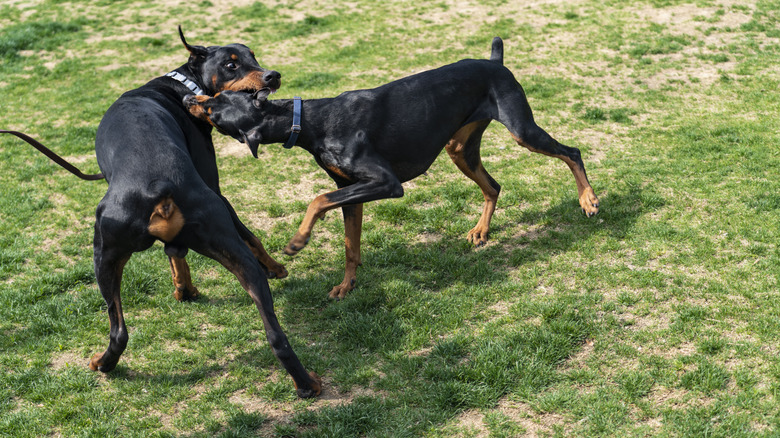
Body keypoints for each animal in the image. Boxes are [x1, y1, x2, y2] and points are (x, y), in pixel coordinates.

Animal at [186, 36, 600, 302]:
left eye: (215, 106)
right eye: (218, 94)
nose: (191, 97)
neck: (309, 120)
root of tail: (495, 62)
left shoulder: (385, 183)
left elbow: (318, 199)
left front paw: (297, 241)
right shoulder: (352, 192)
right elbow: (350, 246)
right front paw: (346, 287)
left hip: (521, 130)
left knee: (572, 152)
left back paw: (588, 200)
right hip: (460, 149)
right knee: (494, 186)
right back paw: (481, 231)